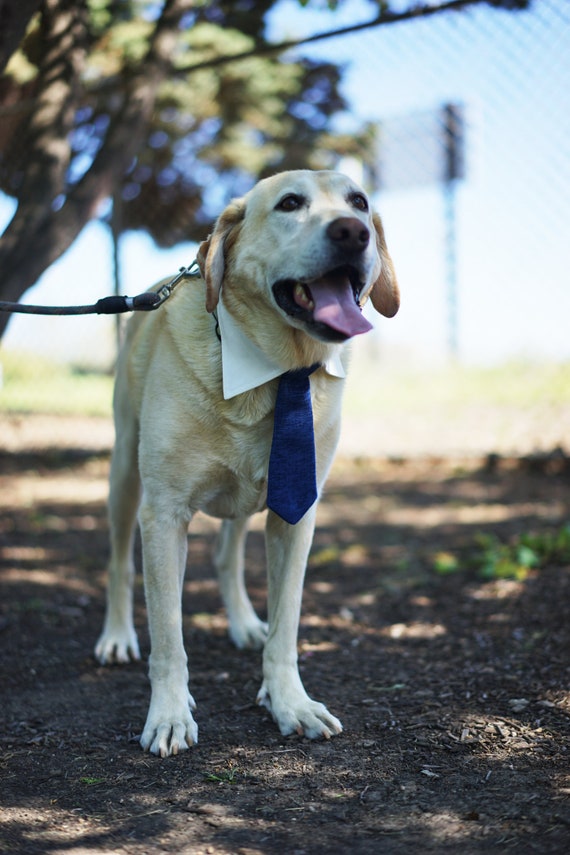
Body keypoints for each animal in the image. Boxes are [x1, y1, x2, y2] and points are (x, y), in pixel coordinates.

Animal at [95, 167, 398, 756]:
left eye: (358, 201)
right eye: (289, 203)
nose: (353, 232)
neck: (281, 372)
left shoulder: (295, 512)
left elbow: (286, 626)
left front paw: (288, 701)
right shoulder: (163, 515)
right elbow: (168, 635)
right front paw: (169, 714)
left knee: (225, 555)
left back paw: (242, 622)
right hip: (124, 478)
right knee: (121, 565)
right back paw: (117, 635)